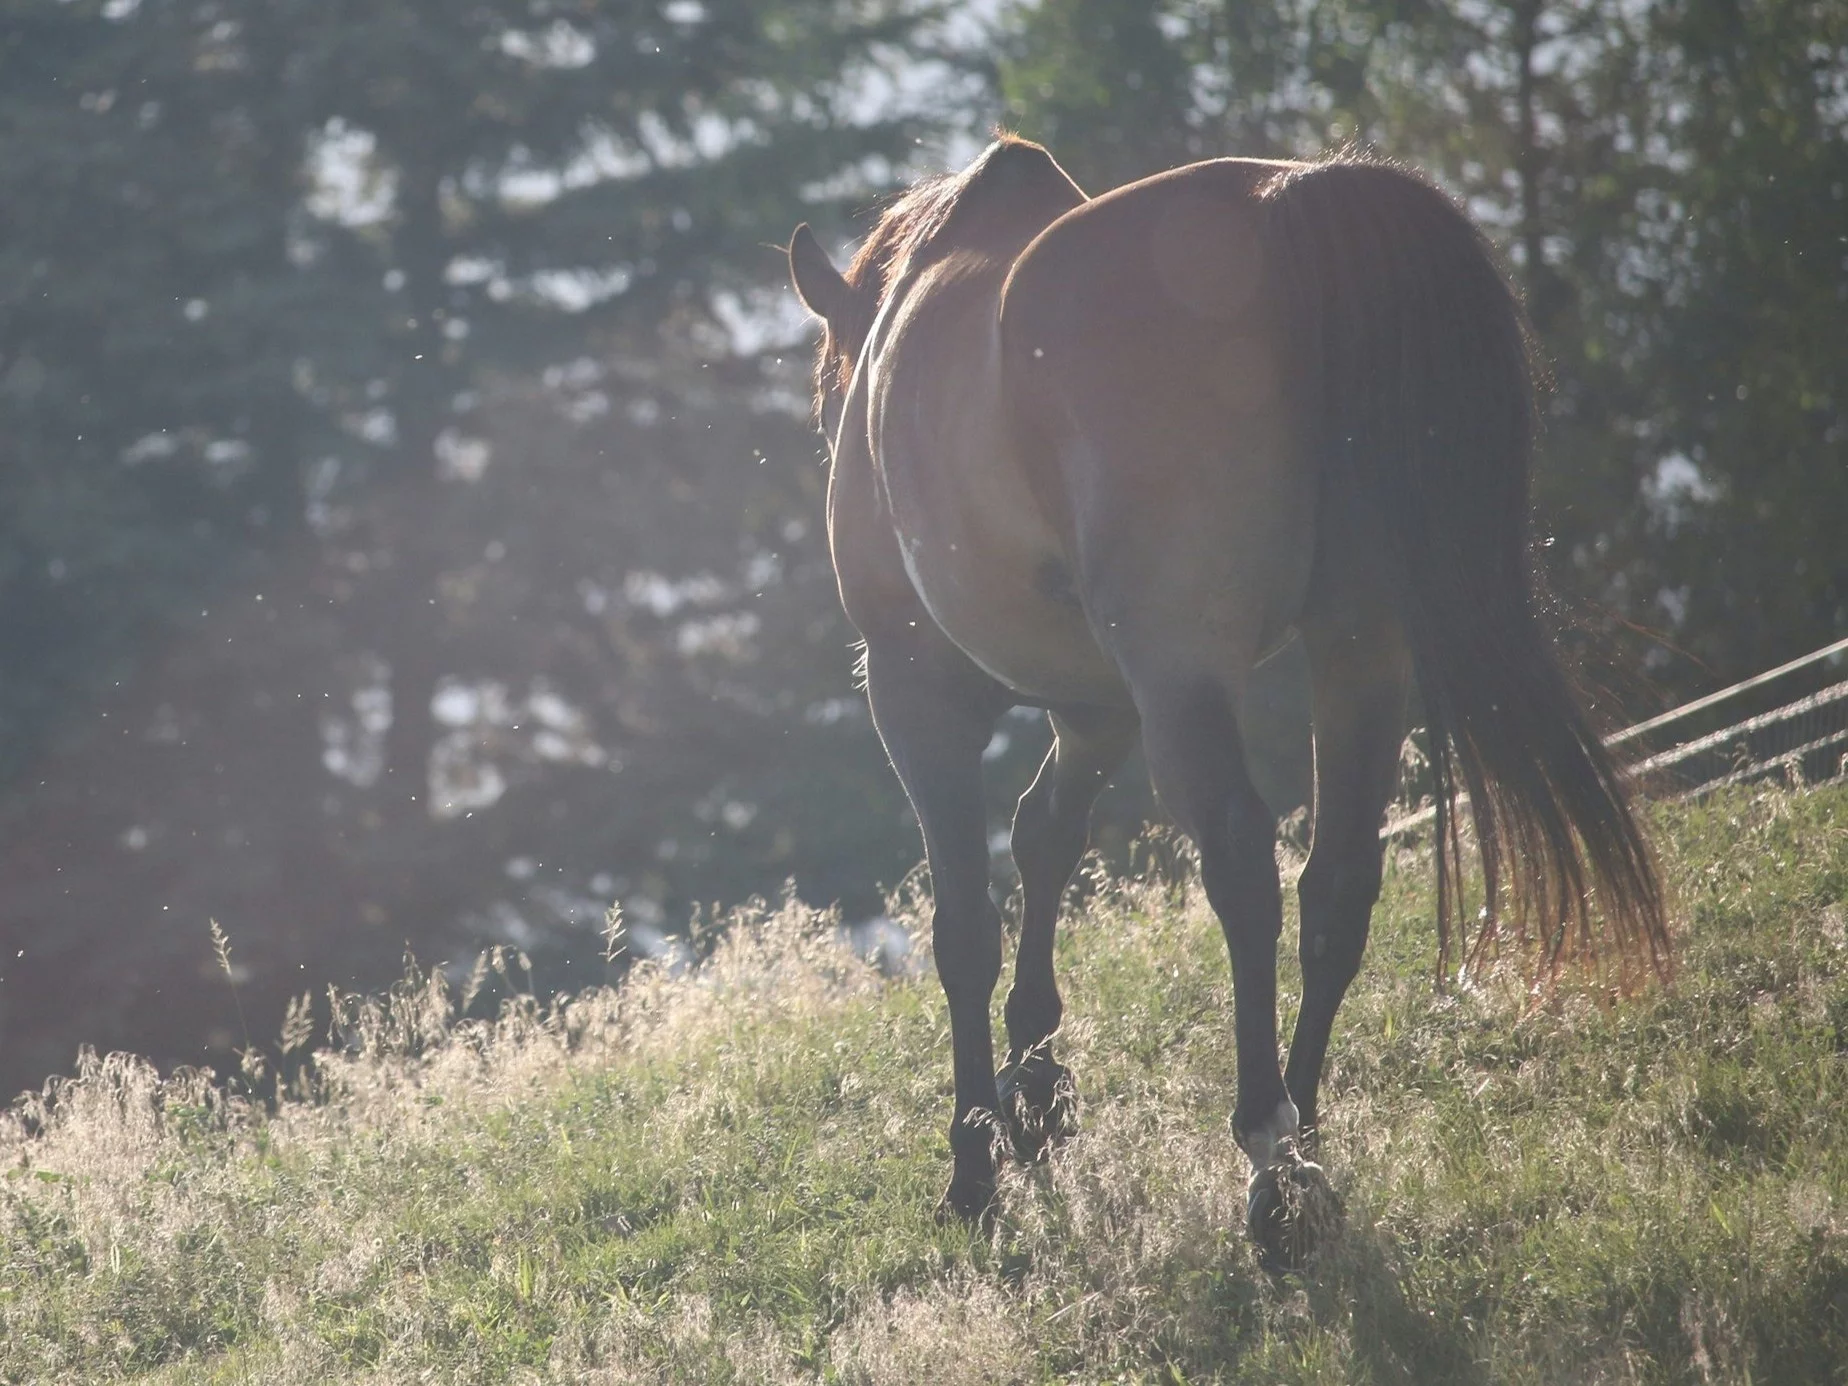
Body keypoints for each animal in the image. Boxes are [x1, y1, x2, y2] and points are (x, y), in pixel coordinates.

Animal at [787, 135, 1670, 1264]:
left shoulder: (920, 694)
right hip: (1360, 649)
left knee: (1245, 864)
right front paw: (1037, 1094)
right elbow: (1045, 837)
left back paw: (1267, 1158)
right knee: (1337, 878)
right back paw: (1304, 1131)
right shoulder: (1100, 706)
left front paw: (978, 1161)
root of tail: (1293, 204)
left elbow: (964, 928)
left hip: (1183, 665)